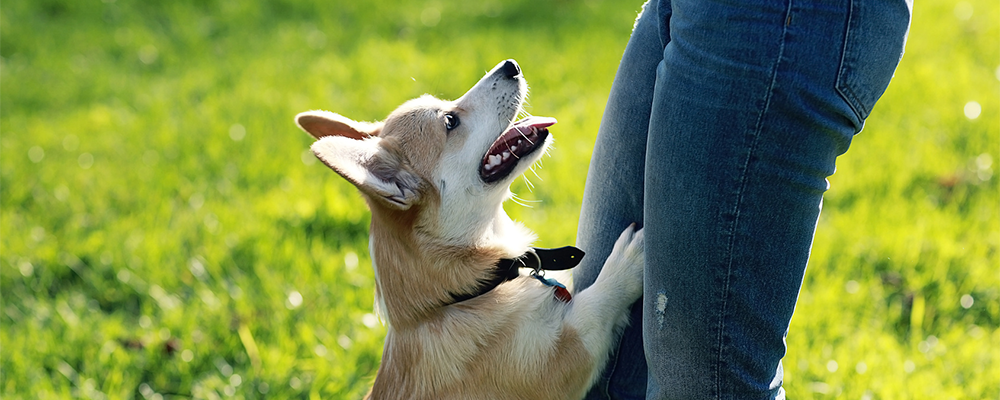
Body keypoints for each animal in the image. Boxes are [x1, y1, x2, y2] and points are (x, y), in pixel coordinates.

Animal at [292, 59, 644, 400]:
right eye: (450, 121)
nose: (510, 65)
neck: (465, 293)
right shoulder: (563, 362)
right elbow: (594, 307)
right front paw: (626, 262)